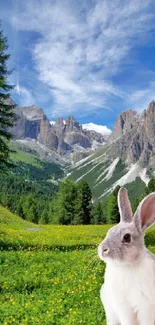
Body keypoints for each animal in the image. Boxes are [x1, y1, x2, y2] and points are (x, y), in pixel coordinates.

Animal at [98, 187, 155, 324]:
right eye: (109, 231)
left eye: (127, 237)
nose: (103, 249)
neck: (127, 266)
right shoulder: (123, 307)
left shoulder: (147, 306)